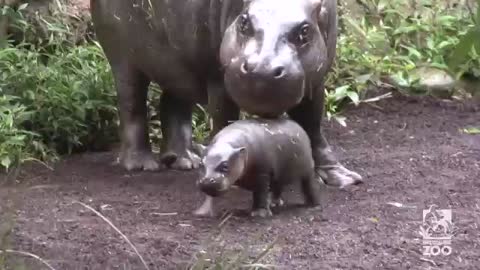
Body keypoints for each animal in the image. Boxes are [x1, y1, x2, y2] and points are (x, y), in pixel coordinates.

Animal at [90, 0, 362, 188]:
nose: (261, 68)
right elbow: (225, 122)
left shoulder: (315, 82)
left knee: (172, 103)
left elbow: (313, 126)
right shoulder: (218, 80)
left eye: (305, 30)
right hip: (122, 58)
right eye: (244, 21)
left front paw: (342, 178)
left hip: (177, 64)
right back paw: (143, 165)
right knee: (131, 104)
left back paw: (185, 161)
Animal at [193, 116, 324, 217]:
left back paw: (314, 207)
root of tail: (299, 126)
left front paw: (259, 214)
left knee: (310, 186)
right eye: (201, 163)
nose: (206, 180)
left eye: (225, 166)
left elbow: (260, 193)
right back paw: (275, 203)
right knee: (278, 187)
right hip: (279, 174)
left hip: (307, 170)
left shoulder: (262, 174)